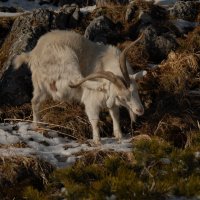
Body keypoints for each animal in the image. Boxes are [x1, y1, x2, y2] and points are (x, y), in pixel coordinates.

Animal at [13, 29, 146, 144]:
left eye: (135, 90)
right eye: (122, 97)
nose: (140, 110)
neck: (105, 63)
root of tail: (34, 53)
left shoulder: (112, 102)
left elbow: (115, 114)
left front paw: (119, 135)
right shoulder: (92, 102)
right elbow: (95, 120)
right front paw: (97, 141)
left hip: (41, 86)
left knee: (35, 101)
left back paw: (37, 126)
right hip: (67, 57)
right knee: (76, 78)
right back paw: (100, 85)